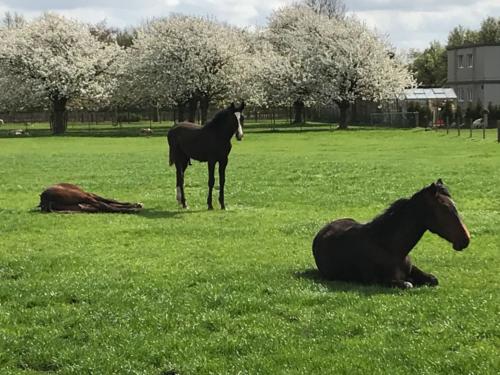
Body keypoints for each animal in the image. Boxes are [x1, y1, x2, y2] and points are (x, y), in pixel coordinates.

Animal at [310, 181, 470, 290]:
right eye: (445, 209)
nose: (465, 240)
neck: (390, 247)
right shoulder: (377, 280)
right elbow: (408, 284)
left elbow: (433, 279)